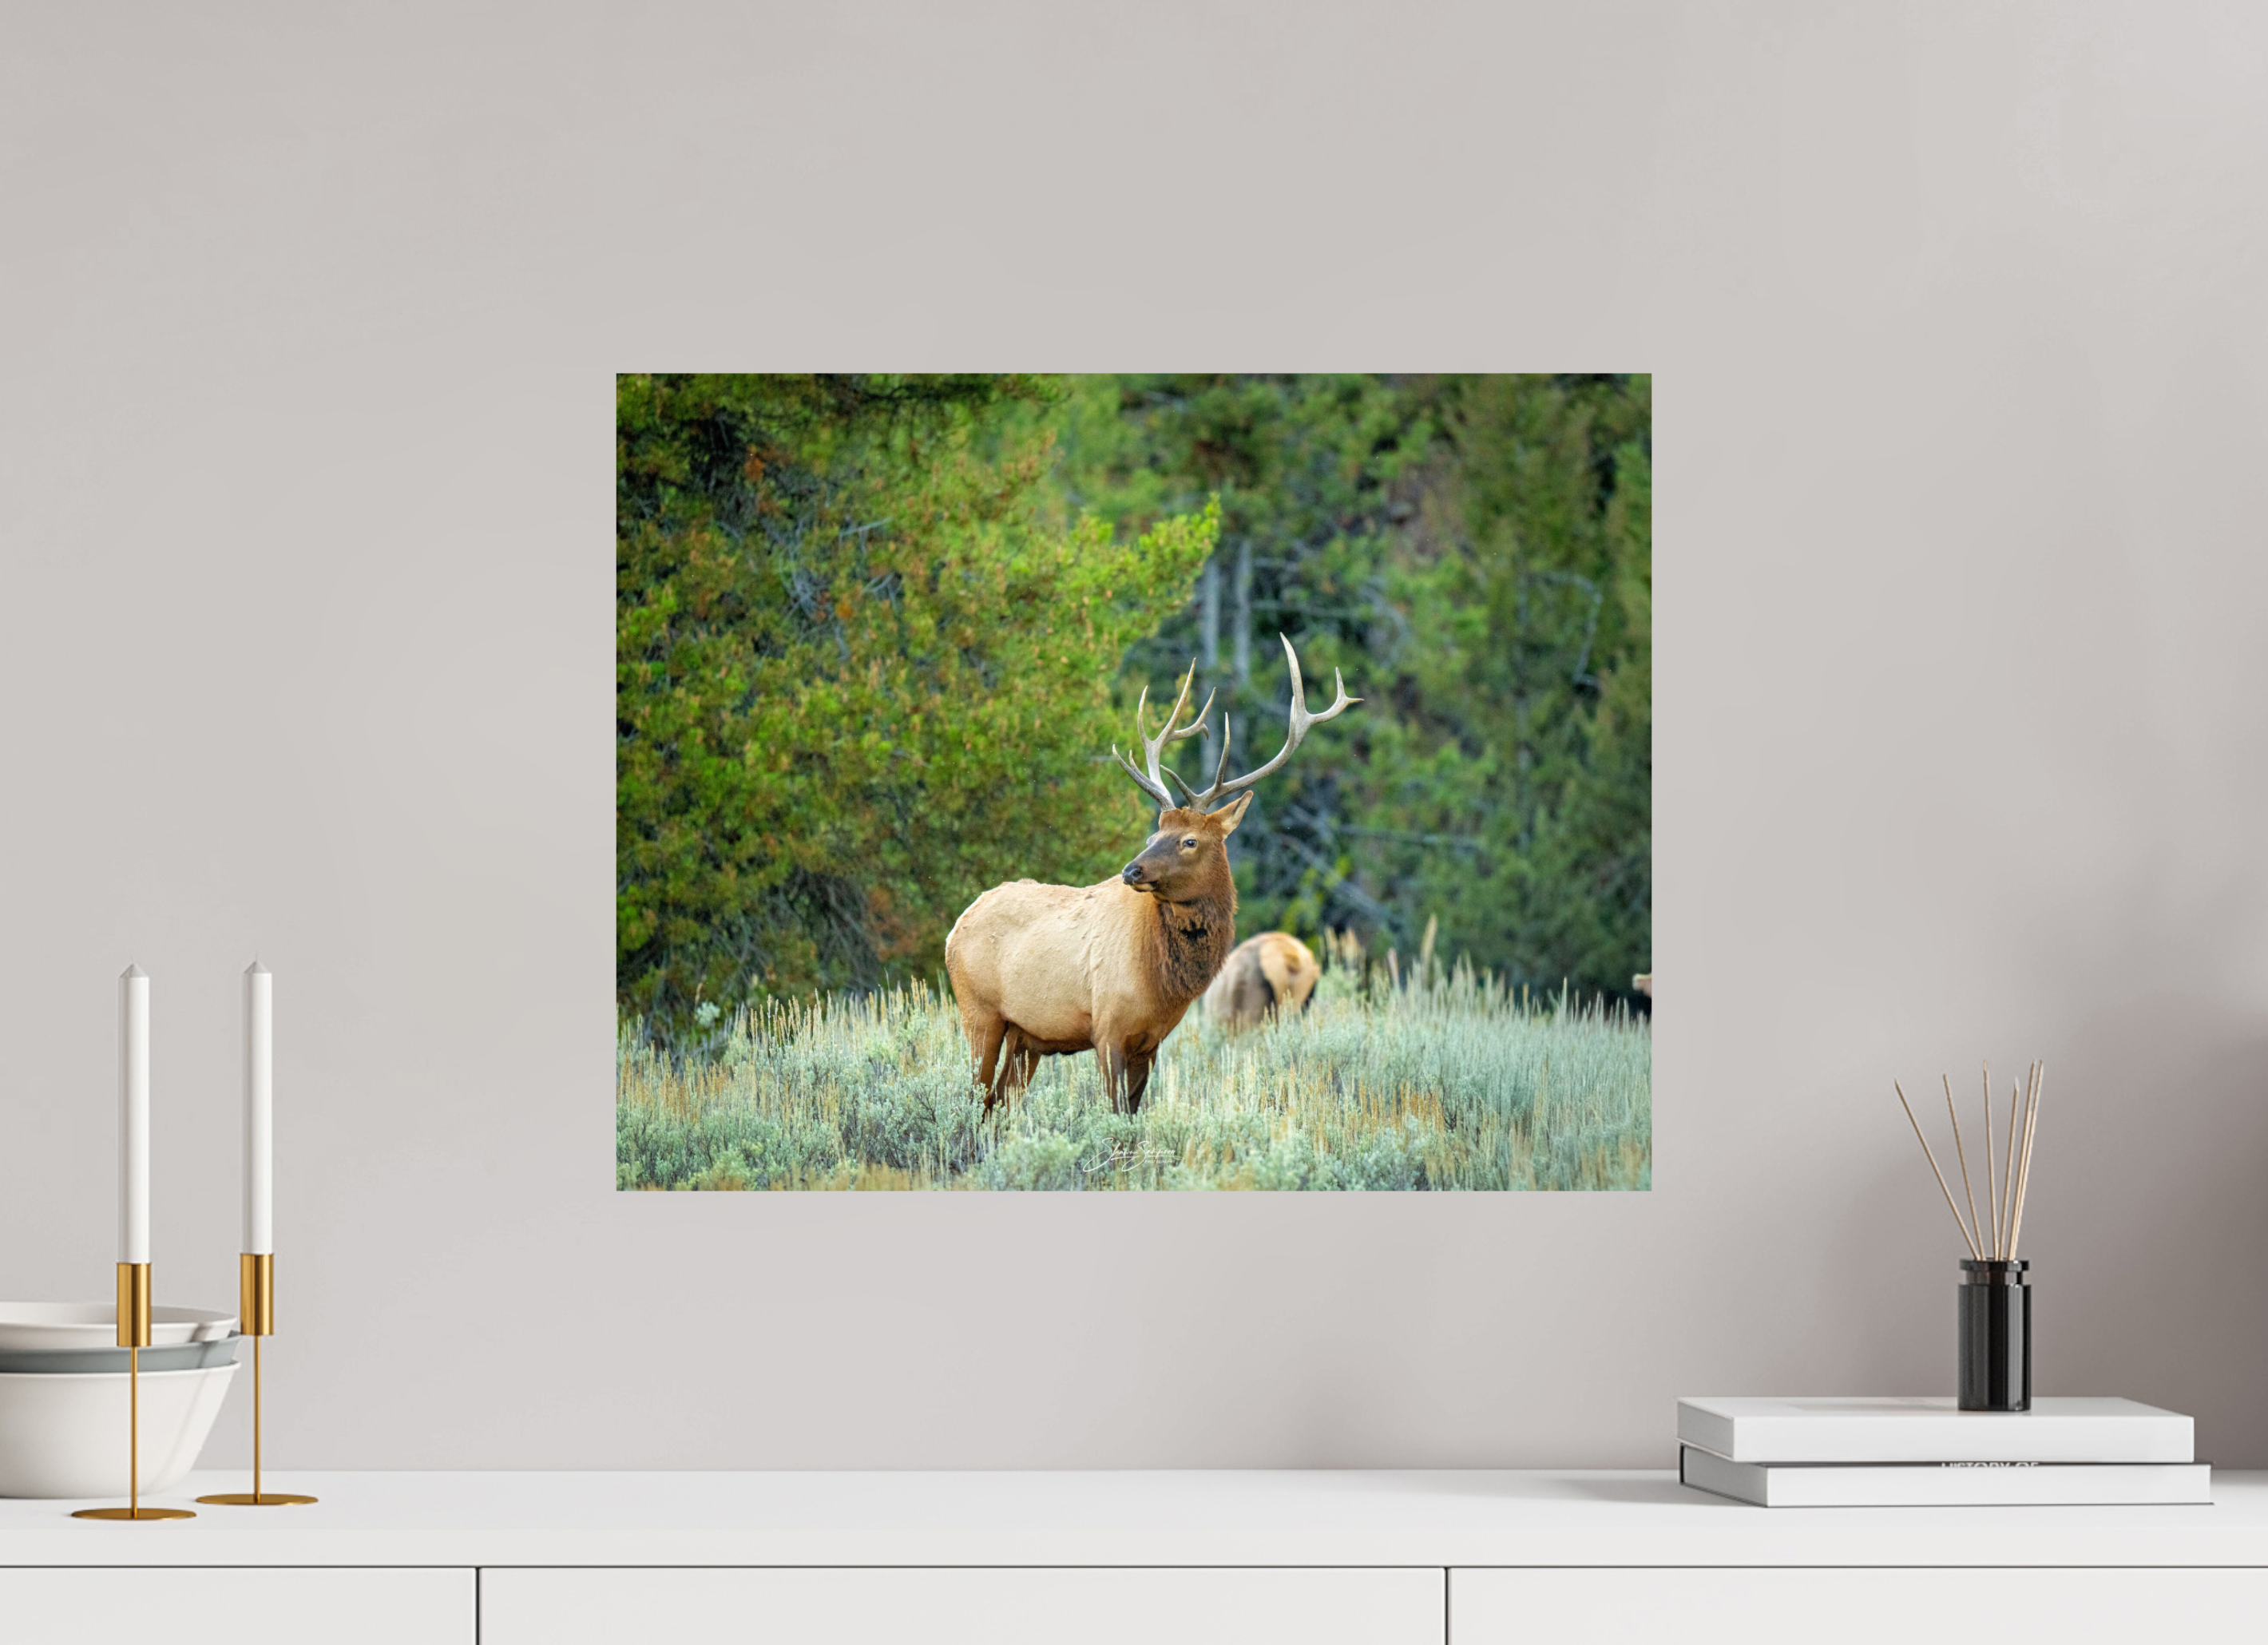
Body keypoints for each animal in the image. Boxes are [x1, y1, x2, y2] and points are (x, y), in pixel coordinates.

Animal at [944, 636, 1358, 1115]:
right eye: (1153, 833)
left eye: (1189, 840)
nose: (1131, 869)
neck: (1162, 984)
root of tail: (955, 929)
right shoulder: (1108, 1028)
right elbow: (1115, 1116)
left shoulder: (1152, 1041)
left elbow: (1133, 1116)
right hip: (979, 1013)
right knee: (976, 1098)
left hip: (1026, 1037)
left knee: (998, 1106)